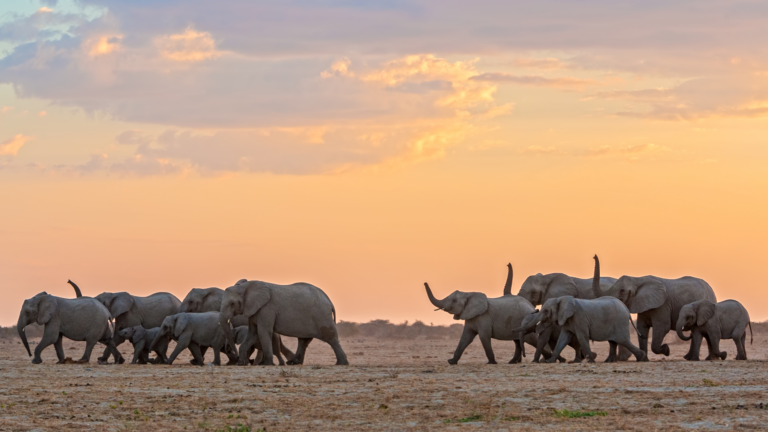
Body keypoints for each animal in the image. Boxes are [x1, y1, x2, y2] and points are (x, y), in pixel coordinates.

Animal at [216, 280, 348, 364]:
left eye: (232, 304)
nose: (236, 356)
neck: (245, 287)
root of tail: (329, 301)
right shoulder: (254, 310)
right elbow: (252, 333)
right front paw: (241, 364)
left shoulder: (266, 308)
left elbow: (263, 332)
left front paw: (267, 364)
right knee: (303, 340)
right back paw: (293, 363)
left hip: (322, 315)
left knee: (331, 338)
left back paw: (342, 363)